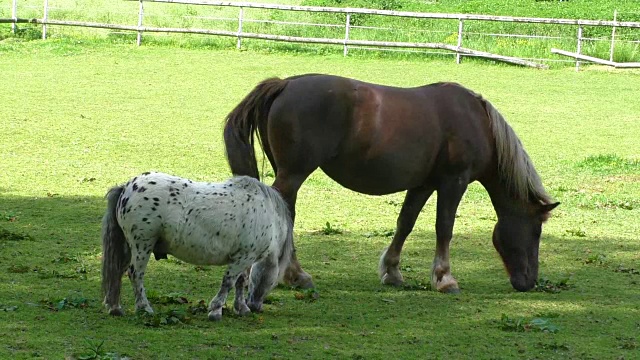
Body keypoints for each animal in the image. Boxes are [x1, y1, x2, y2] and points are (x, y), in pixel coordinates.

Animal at [101, 172, 294, 320]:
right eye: (275, 281)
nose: (255, 306)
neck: (267, 215)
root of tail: (126, 188)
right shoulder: (243, 258)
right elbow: (228, 282)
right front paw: (215, 310)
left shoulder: (243, 258)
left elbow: (240, 282)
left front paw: (241, 308)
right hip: (142, 245)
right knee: (135, 274)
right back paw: (144, 308)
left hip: (129, 246)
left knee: (118, 271)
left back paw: (115, 308)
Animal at [222, 74, 556, 294]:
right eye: (536, 231)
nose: (529, 282)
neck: (476, 121)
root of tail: (285, 83)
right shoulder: (454, 181)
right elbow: (444, 227)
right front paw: (444, 278)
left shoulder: (423, 184)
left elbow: (405, 223)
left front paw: (392, 272)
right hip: (293, 175)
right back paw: (295, 275)